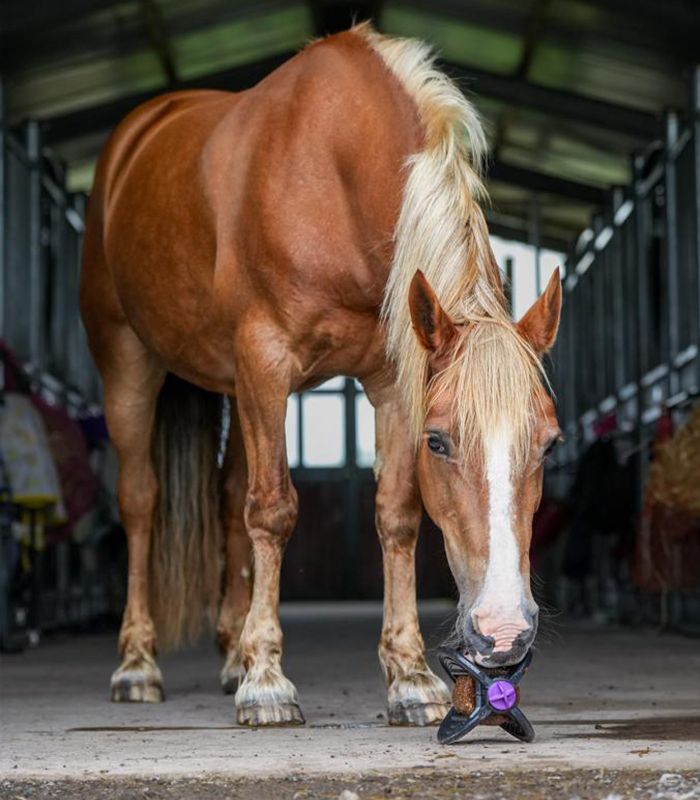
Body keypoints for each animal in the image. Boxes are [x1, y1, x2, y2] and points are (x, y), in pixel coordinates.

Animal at [80, 23, 562, 727]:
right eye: (440, 442)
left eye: (549, 445)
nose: (503, 632)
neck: (335, 174)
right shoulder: (266, 362)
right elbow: (273, 510)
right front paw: (267, 683)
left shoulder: (391, 379)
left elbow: (395, 516)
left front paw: (410, 677)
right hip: (129, 365)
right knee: (141, 502)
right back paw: (138, 665)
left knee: (228, 496)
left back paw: (231, 655)